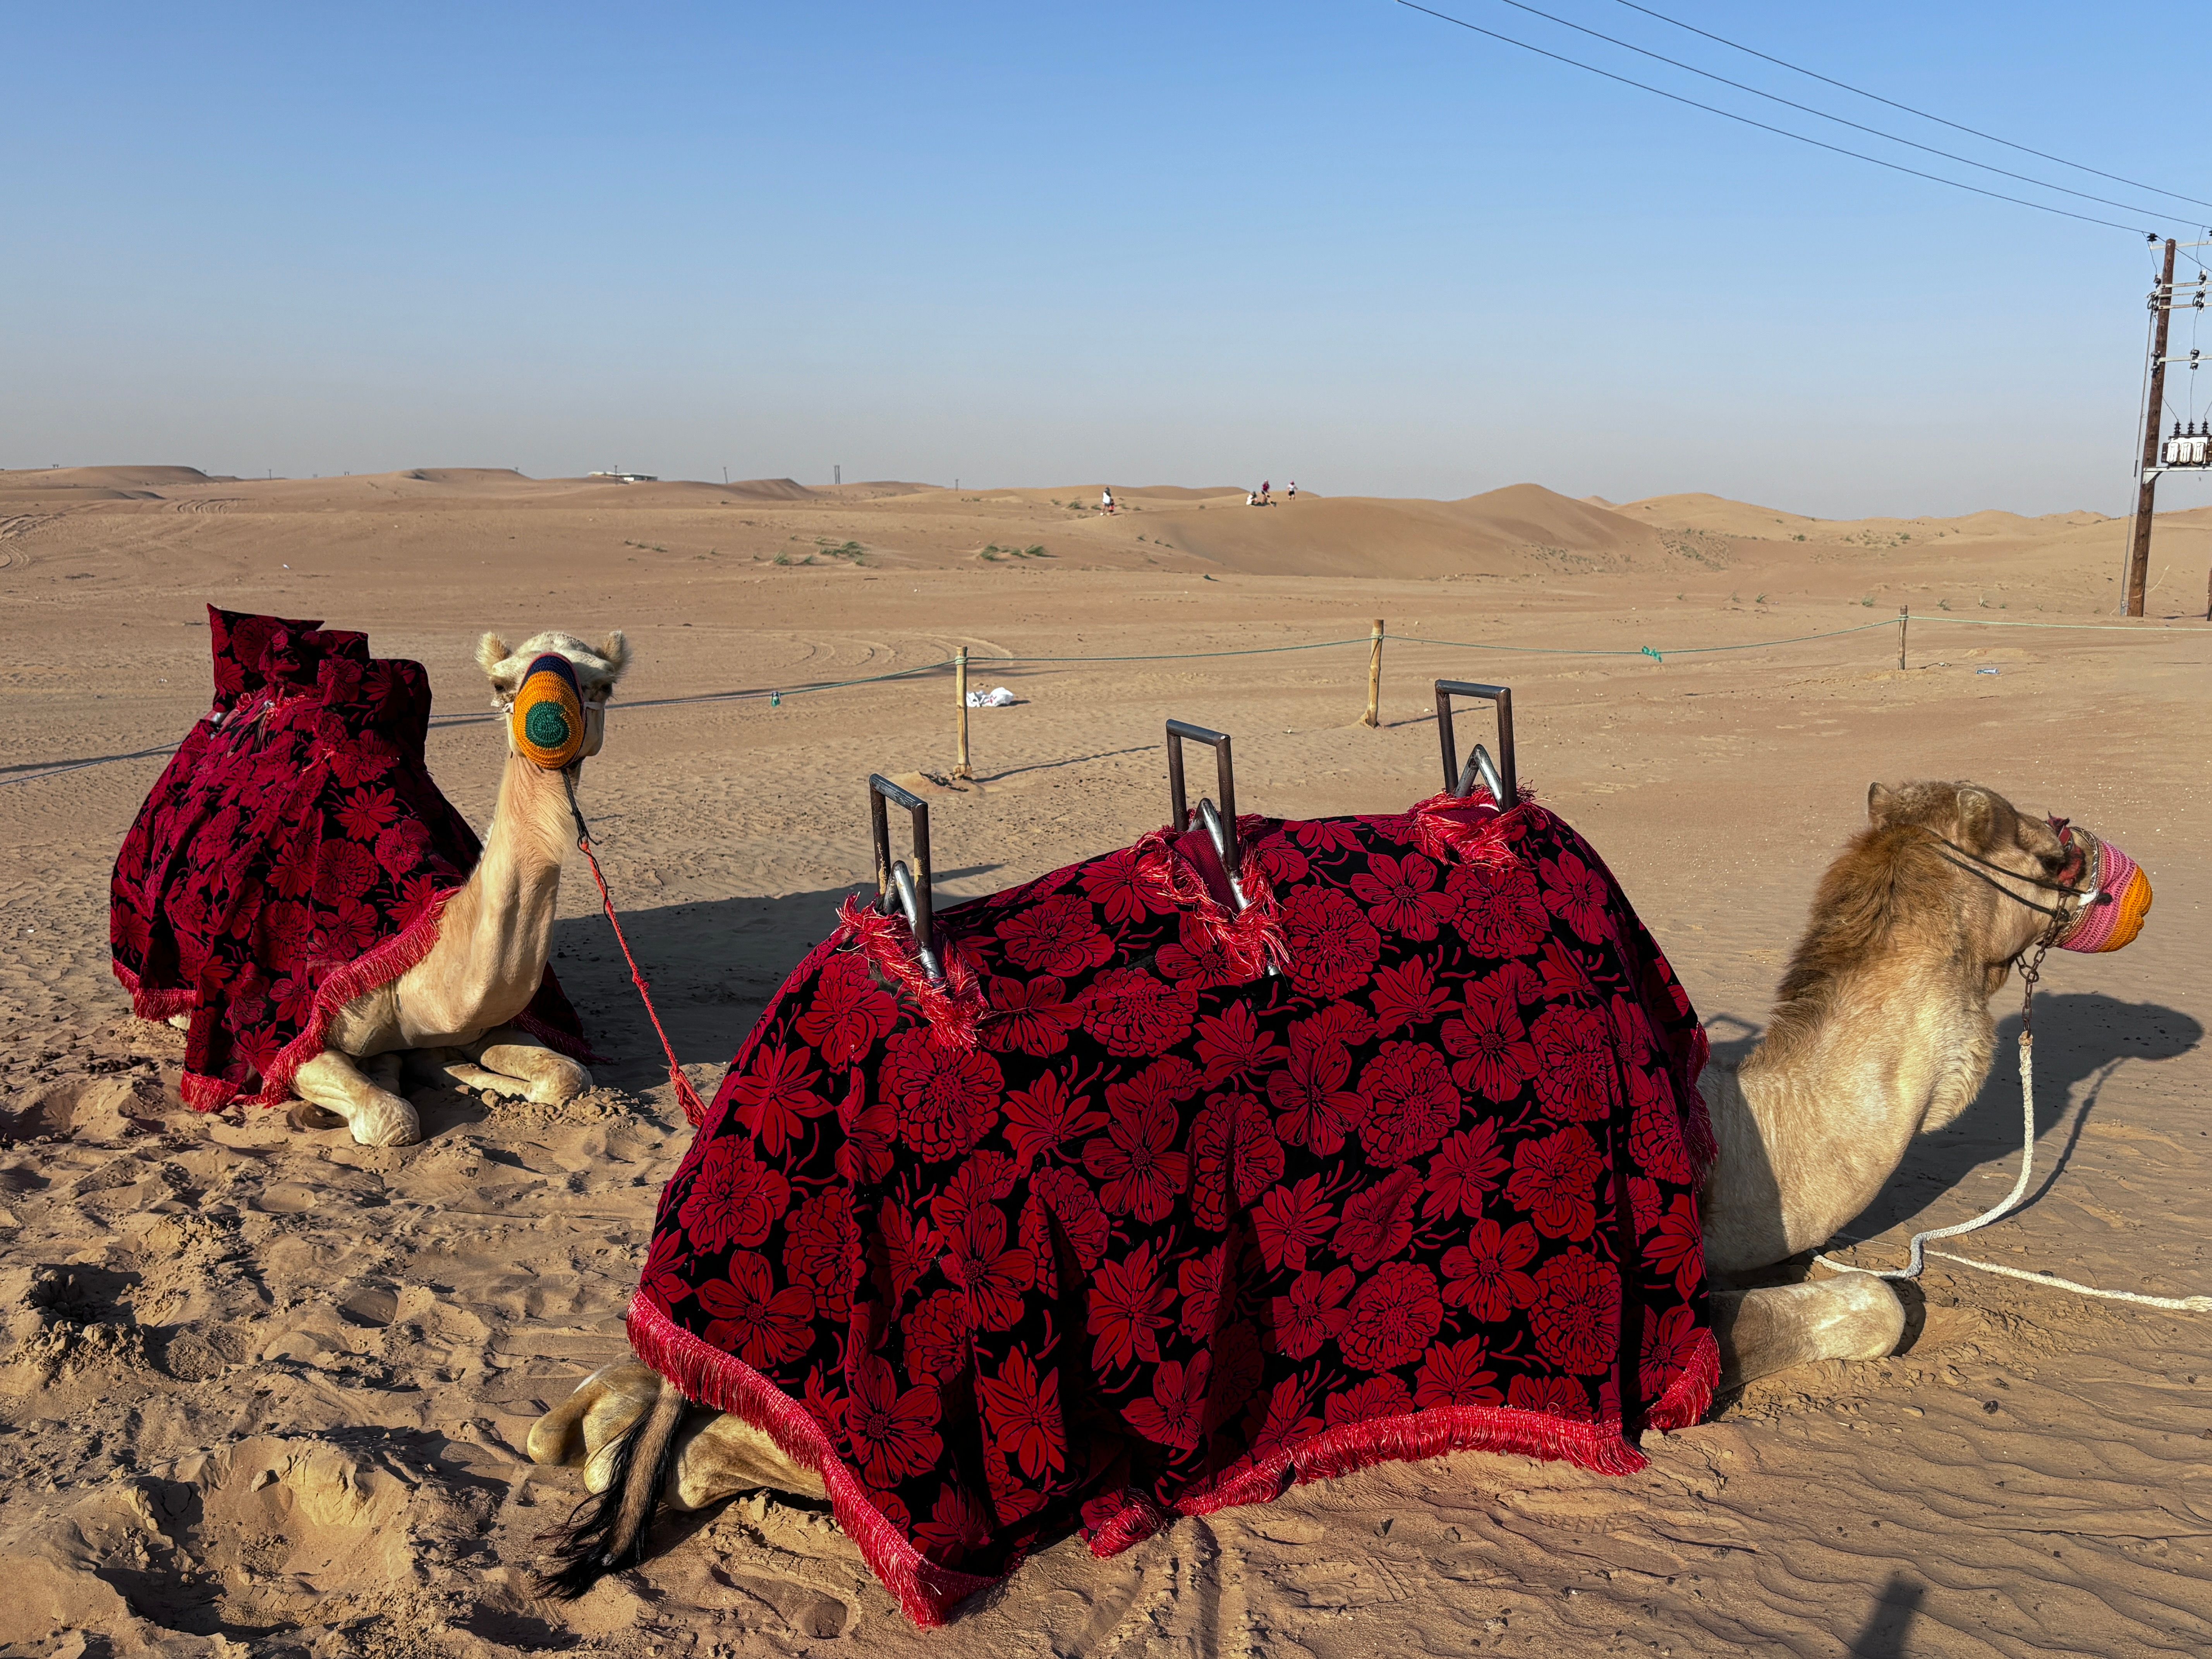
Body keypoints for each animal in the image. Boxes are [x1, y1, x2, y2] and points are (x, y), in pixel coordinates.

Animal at [287, 629, 629, 1147]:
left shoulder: (482, 1025)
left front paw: (494, 1085)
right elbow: (391, 1118)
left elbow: (569, 1075)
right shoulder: (297, 1039)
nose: (548, 720)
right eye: (501, 683)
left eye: (603, 685)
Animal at [522, 777, 2124, 1597]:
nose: (2106, 864)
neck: (1732, 1128)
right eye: (2034, 838)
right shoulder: (1632, 1325)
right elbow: (1864, 1315)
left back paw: (590, 1438)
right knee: (717, 1453)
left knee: (644, 1389)